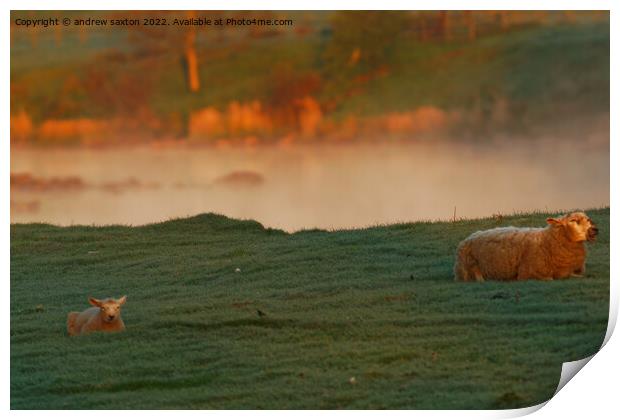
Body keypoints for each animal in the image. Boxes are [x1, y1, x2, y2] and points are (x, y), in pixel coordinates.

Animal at [452, 212, 600, 280]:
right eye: (573, 220)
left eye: (588, 219)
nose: (594, 230)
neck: (548, 241)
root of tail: (466, 239)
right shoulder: (529, 274)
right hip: (471, 271)